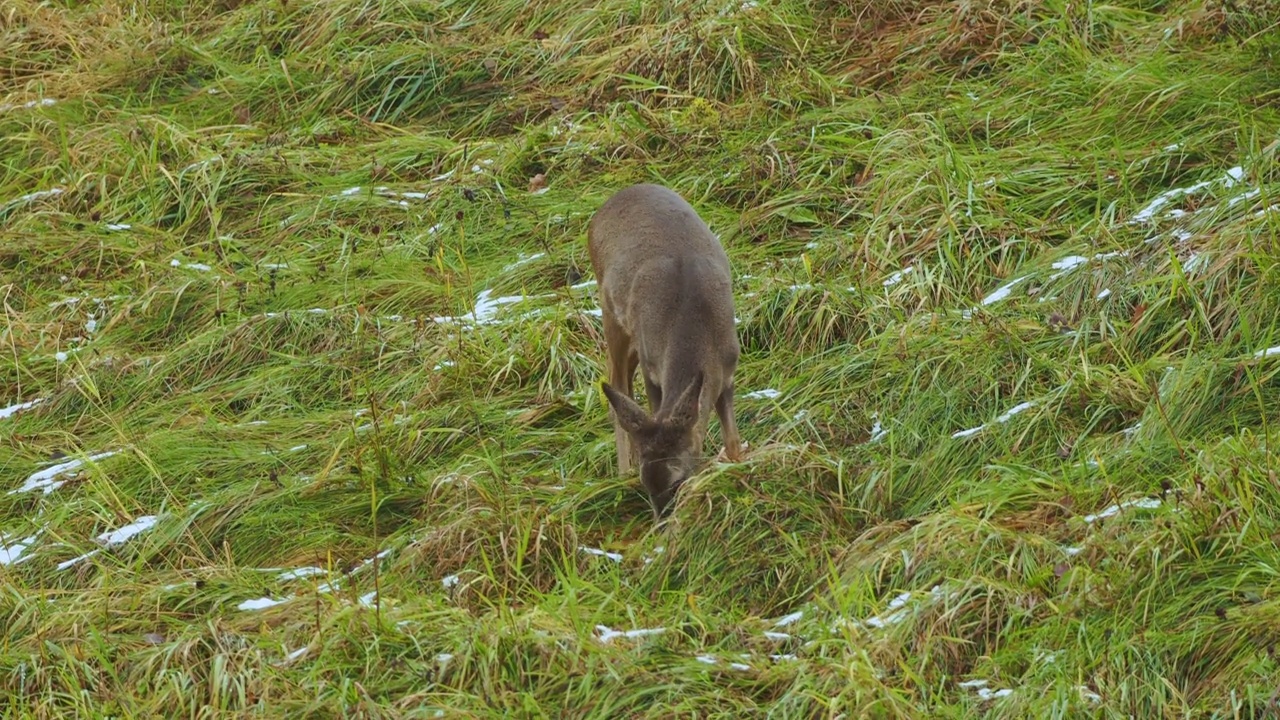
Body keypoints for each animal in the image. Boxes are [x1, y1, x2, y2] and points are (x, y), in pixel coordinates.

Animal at [586, 181, 747, 517]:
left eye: (678, 480)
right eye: (647, 485)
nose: (663, 522)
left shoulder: (727, 370)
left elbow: (733, 440)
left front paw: (738, 471)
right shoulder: (653, 370)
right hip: (611, 314)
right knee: (616, 384)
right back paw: (621, 474)